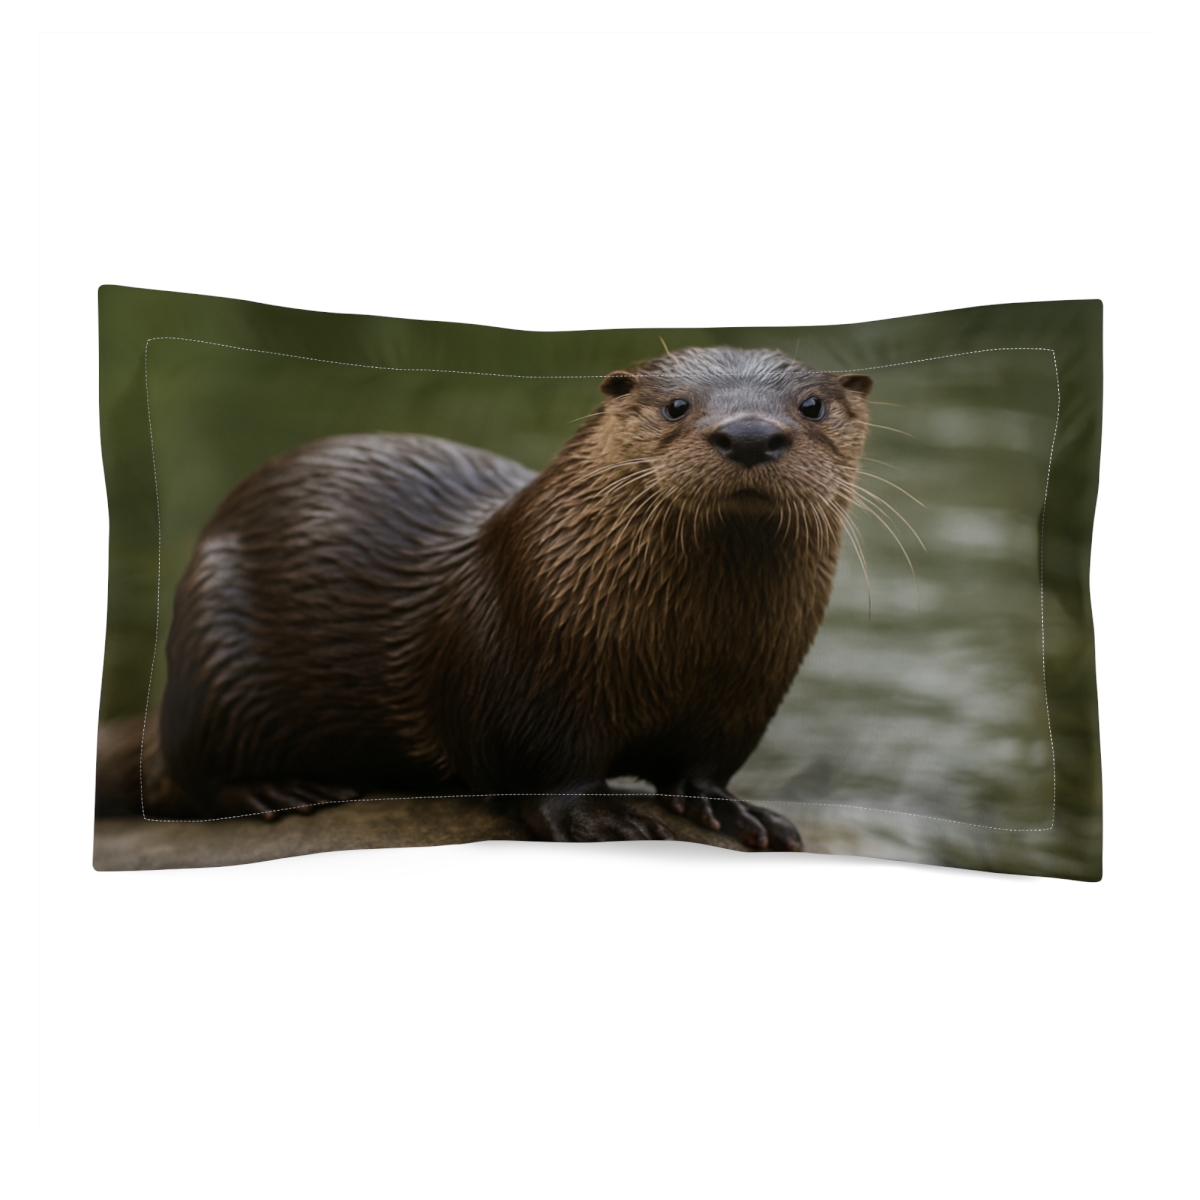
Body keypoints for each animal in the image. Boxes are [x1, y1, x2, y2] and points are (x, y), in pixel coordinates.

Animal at [108, 347, 872, 850]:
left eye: (811, 405)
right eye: (675, 405)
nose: (749, 434)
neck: (687, 649)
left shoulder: (745, 696)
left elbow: (700, 768)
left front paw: (742, 814)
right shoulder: (528, 672)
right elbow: (542, 773)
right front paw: (601, 817)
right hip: (217, 650)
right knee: (193, 772)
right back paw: (279, 791)